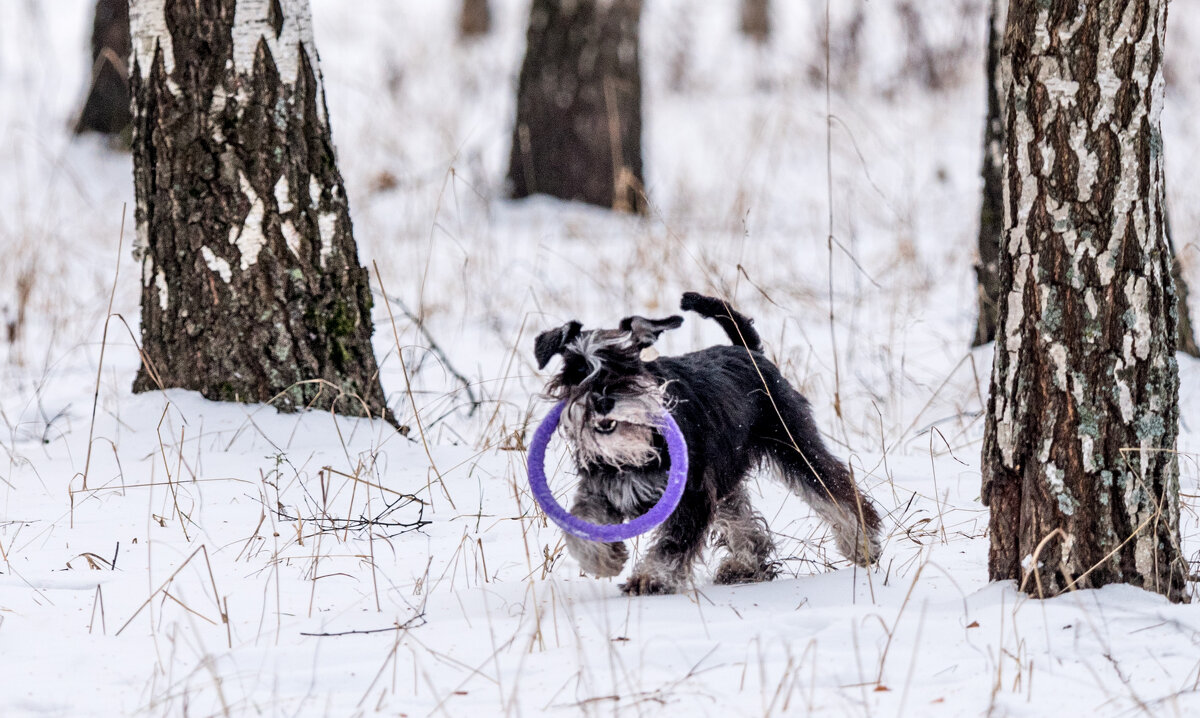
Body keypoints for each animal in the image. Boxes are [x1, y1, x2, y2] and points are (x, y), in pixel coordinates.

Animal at [535, 292, 883, 595]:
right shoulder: (599, 490)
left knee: (835, 491)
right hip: (728, 477)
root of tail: (749, 351)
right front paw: (602, 560)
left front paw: (651, 579)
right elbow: (583, 523)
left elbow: (672, 544)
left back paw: (862, 543)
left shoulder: (692, 493)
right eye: (577, 368)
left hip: (795, 447)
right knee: (743, 520)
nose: (603, 400)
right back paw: (746, 567)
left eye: (627, 363)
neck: (635, 449)